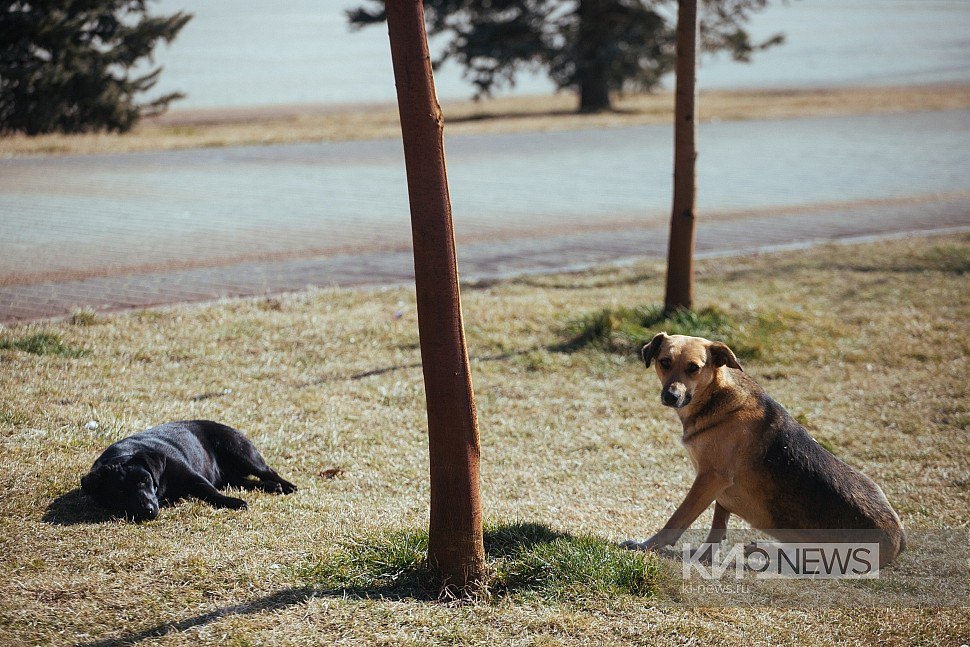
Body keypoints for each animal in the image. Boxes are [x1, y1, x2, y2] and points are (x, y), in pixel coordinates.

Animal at [80, 420, 294, 520]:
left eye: (145, 480)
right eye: (120, 492)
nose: (147, 510)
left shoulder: (192, 476)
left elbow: (210, 492)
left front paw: (232, 502)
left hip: (242, 451)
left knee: (268, 471)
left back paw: (286, 486)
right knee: (244, 481)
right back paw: (272, 487)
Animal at [624, 334, 904, 568]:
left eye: (693, 367)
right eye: (665, 362)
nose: (670, 397)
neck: (715, 396)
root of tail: (900, 539)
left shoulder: (711, 478)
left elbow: (677, 520)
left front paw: (647, 546)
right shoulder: (719, 489)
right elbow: (717, 527)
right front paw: (705, 557)